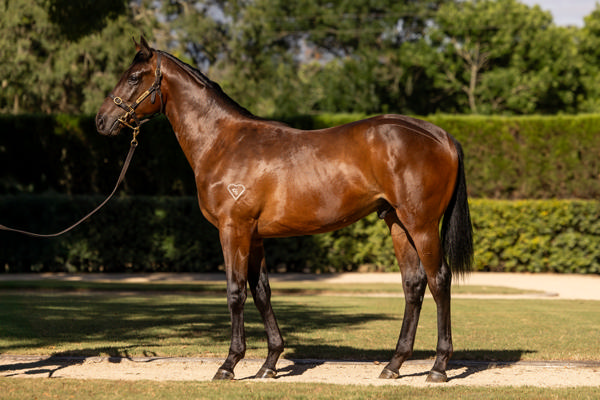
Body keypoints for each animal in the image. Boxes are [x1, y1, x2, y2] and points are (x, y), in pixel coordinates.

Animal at [95, 38, 474, 384]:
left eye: (134, 77)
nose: (101, 121)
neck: (223, 142)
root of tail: (440, 135)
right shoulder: (255, 236)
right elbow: (262, 292)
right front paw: (269, 363)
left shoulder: (233, 229)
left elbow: (235, 292)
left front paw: (229, 364)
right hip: (397, 223)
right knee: (413, 284)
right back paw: (393, 365)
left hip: (421, 224)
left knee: (439, 280)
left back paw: (439, 367)